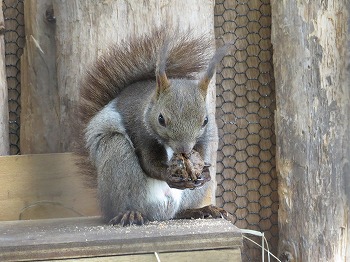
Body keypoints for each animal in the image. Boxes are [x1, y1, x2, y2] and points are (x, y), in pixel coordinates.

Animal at [77, 28, 228, 225]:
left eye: (205, 120)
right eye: (161, 119)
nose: (184, 150)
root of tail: (159, 214)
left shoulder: (204, 137)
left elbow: (202, 151)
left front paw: (205, 172)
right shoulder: (139, 129)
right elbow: (148, 163)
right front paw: (168, 174)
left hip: (189, 197)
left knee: (178, 212)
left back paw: (199, 210)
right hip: (117, 157)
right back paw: (129, 214)